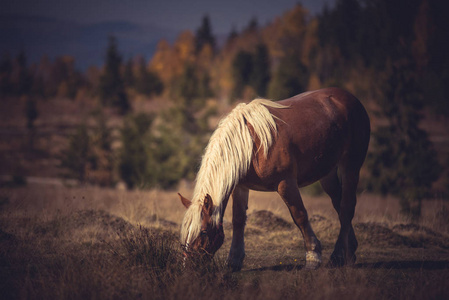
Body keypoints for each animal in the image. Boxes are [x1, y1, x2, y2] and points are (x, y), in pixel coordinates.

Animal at [177, 87, 370, 272]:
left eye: (203, 232)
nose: (188, 268)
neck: (252, 144)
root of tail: (350, 98)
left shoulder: (285, 184)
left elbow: (300, 216)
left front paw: (313, 257)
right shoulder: (240, 187)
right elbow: (238, 220)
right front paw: (234, 260)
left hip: (350, 165)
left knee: (346, 207)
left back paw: (338, 255)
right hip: (327, 173)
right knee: (339, 205)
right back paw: (350, 252)